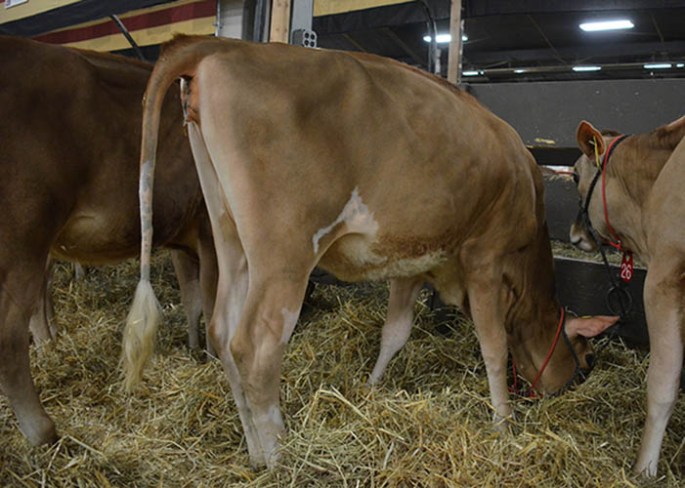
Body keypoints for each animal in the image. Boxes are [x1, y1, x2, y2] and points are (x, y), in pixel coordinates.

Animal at [0, 36, 217, 447]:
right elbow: (213, 307)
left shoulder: (188, 234)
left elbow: (193, 299)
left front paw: (197, 350)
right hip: (23, 240)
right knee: (9, 333)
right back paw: (42, 430)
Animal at [125, 35, 618, 469]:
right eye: (588, 359)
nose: (567, 387)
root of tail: (222, 45)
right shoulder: (485, 256)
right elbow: (493, 344)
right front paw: (503, 424)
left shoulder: (413, 261)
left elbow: (395, 332)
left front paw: (371, 387)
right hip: (284, 252)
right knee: (255, 345)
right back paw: (281, 458)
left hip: (230, 237)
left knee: (222, 329)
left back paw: (256, 453)